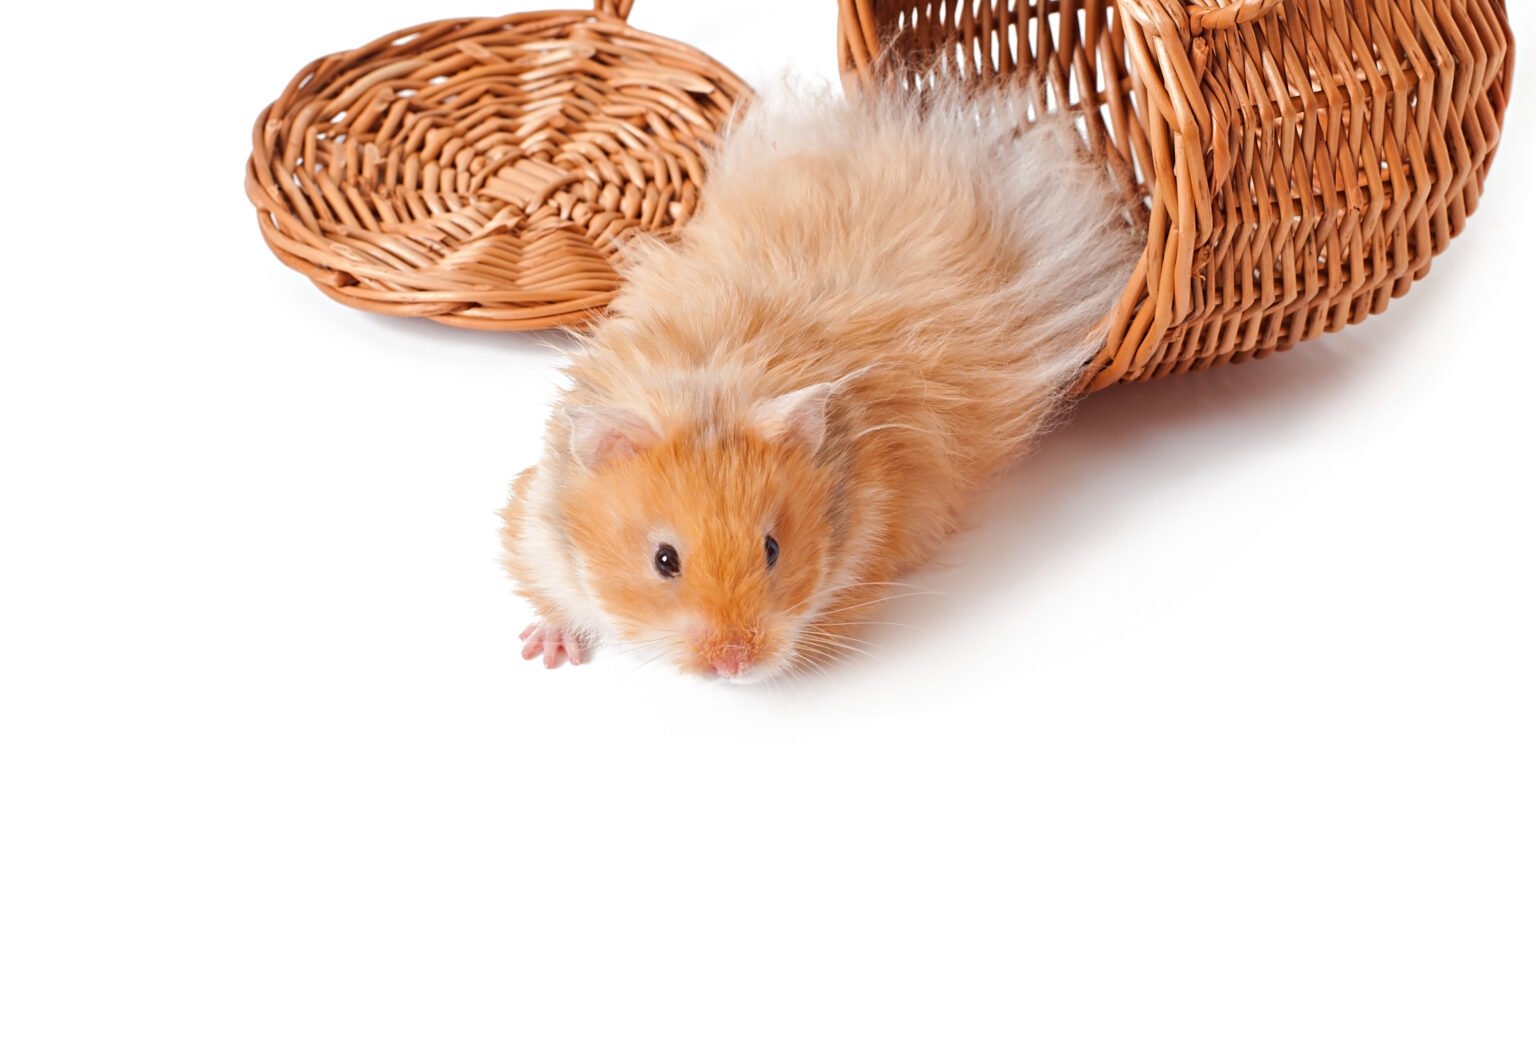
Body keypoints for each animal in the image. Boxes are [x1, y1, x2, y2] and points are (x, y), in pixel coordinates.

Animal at [500, 80, 1141, 680]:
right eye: (663, 560)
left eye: (772, 549)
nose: (734, 664)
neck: (711, 387)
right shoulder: (534, 528)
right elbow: (547, 589)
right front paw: (545, 653)